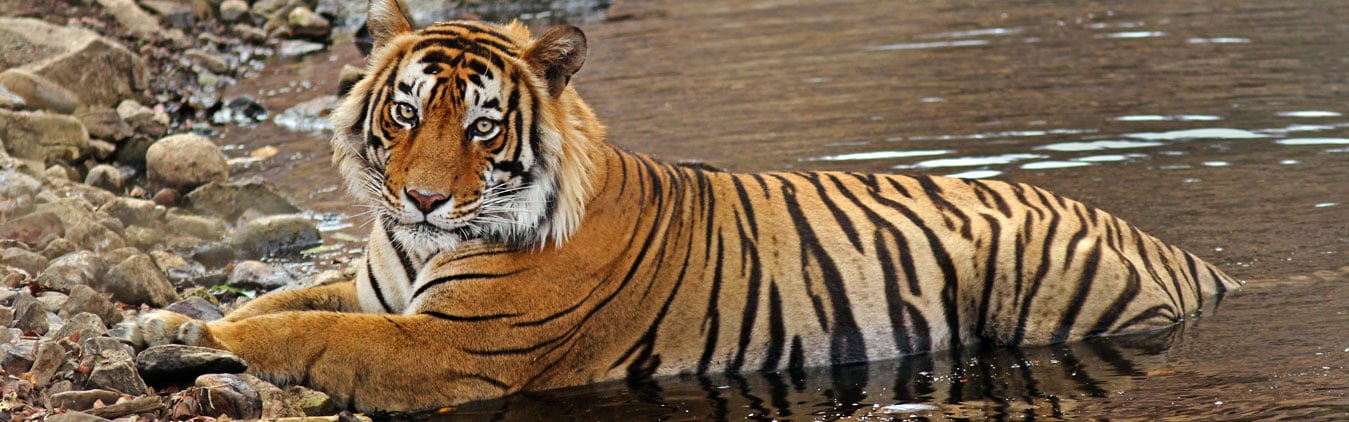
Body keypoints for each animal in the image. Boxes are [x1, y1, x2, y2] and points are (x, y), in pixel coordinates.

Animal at [137, 0, 1243, 412]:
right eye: (404, 113)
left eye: (484, 127)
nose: (420, 196)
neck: (412, 245)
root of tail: (1177, 252)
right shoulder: (381, 289)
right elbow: (285, 302)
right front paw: (167, 324)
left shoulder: (451, 347)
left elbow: (303, 331)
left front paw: (195, 337)